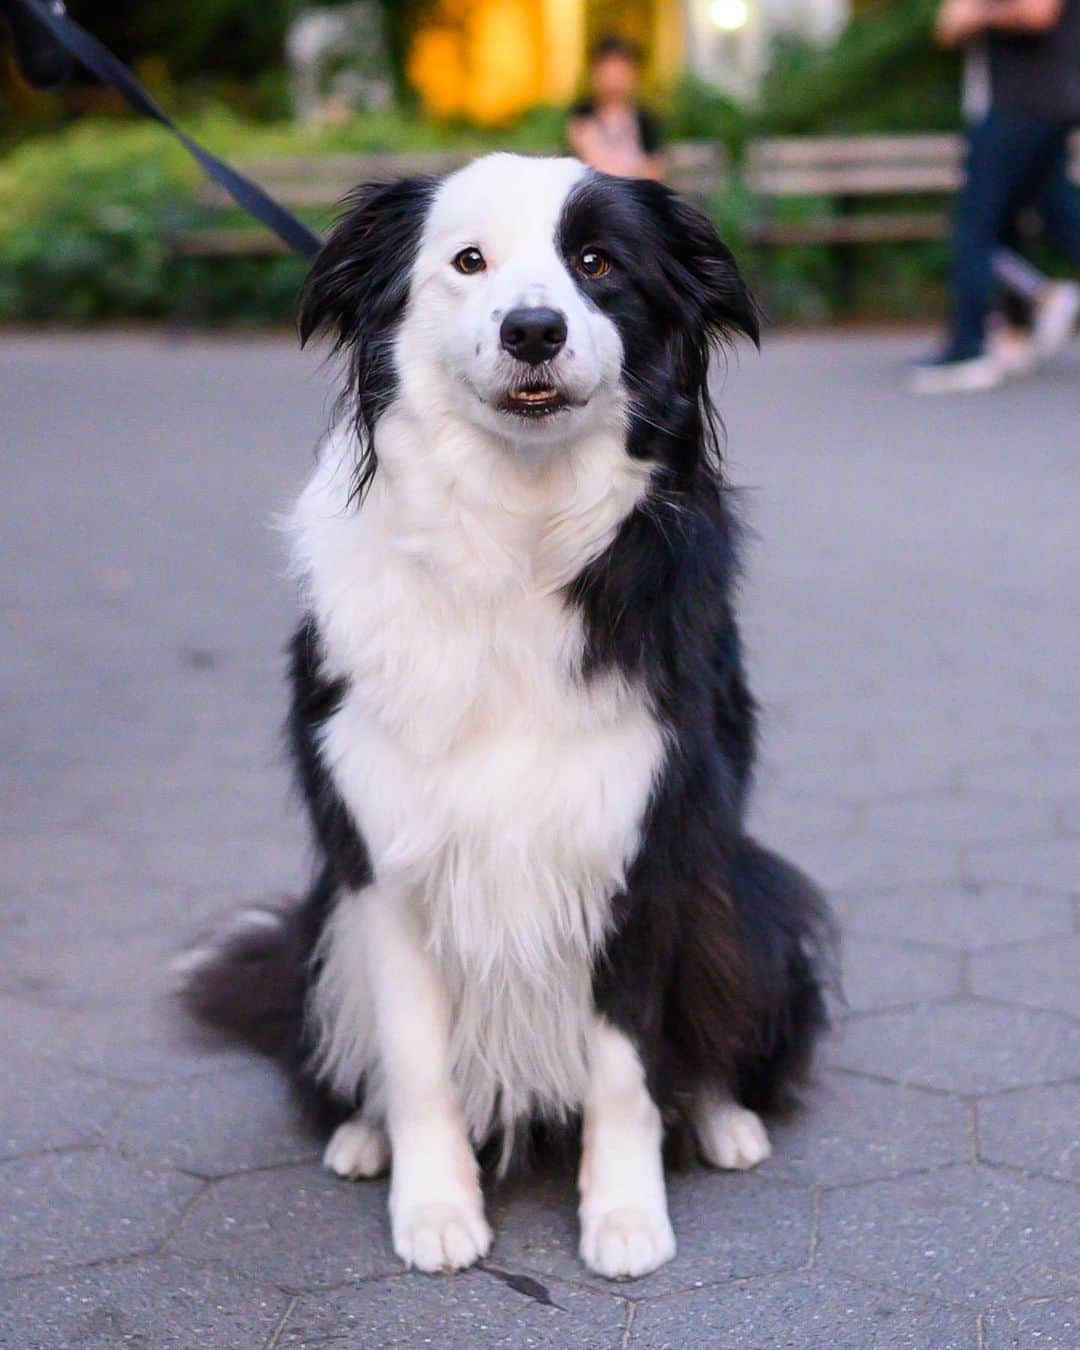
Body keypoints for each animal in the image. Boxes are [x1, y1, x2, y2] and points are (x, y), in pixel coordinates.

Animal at [186, 153, 831, 1279]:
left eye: (598, 262)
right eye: (468, 261)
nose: (534, 329)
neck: (516, 534)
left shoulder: (639, 845)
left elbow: (625, 1062)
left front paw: (626, 1215)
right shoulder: (383, 854)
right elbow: (414, 1055)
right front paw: (435, 1207)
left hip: (744, 889)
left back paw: (721, 1118)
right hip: (324, 919)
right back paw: (361, 1134)